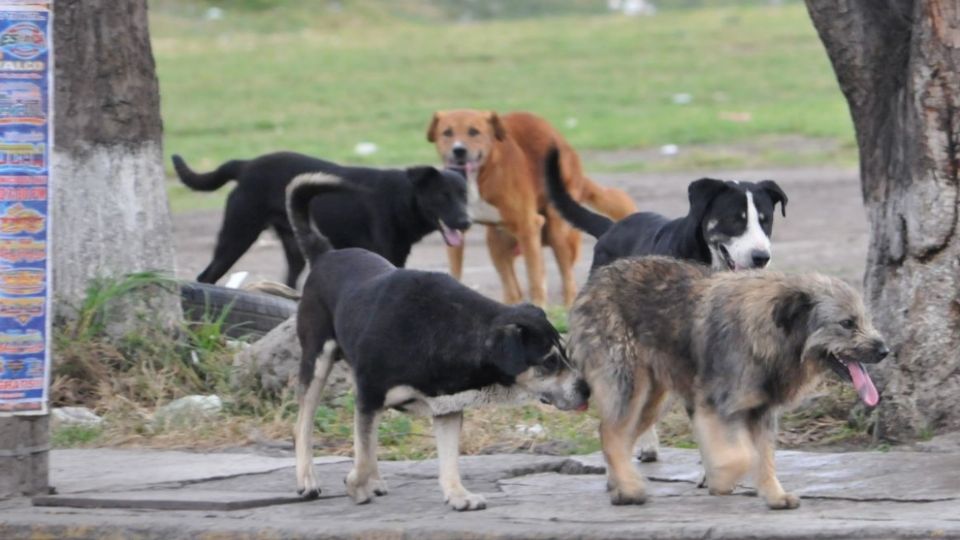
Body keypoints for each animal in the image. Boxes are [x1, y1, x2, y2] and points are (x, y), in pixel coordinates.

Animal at [175, 152, 472, 286]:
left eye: (464, 195)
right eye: (442, 196)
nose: (466, 222)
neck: (402, 198)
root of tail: (246, 164)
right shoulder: (385, 254)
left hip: (293, 246)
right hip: (237, 236)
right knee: (205, 277)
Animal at [288, 172, 588, 510]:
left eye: (564, 354)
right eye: (549, 361)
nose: (587, 390)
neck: (446, 331)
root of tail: (325, 252)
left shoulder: (447, 408)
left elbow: (448, 458)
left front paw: (458, 495)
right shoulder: (370, 395)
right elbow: (362, 453)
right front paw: (355, 484)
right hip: (317, 358)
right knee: (303, 424)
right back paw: (308, 479)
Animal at [430, 110, 636, 304]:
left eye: (474, 132)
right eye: (447, 132)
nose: (459, 150)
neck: (477, 177)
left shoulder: (529, 227)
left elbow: (535, 276)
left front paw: (539, 303)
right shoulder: (456, 230)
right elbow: (457, 269)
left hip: (557, 233)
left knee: (567, 279)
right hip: (496, 240)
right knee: (512, 287)